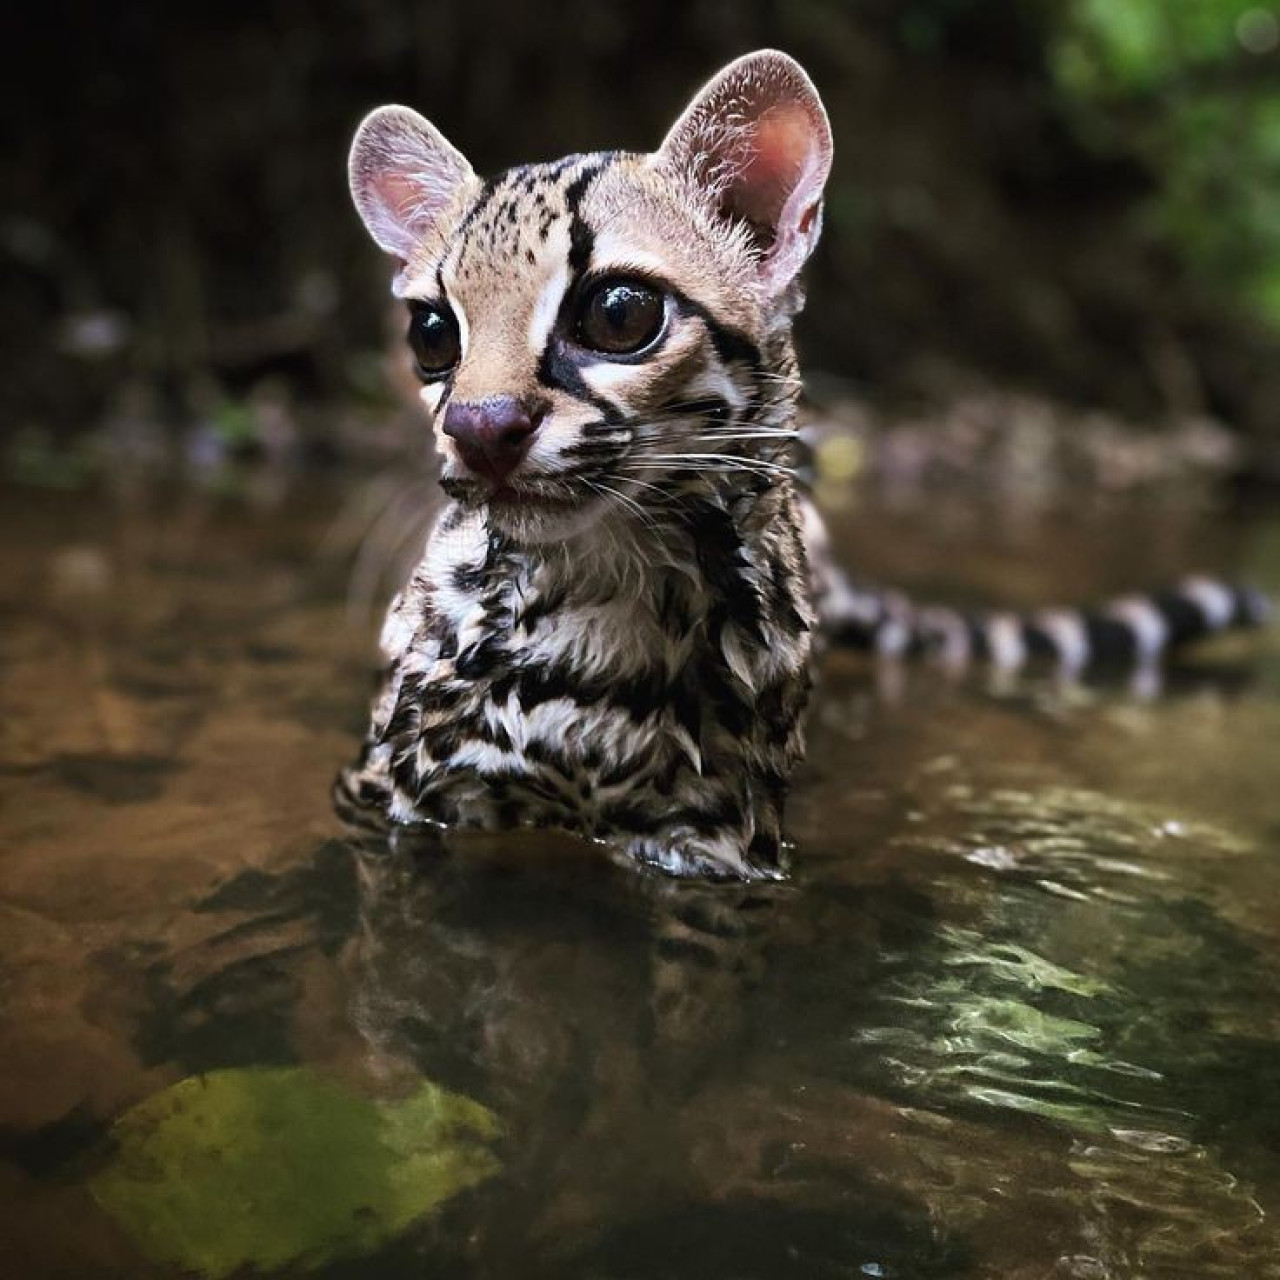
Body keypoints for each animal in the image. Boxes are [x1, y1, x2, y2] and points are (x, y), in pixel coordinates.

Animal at [335, 49, 1264, 880]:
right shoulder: (392, 797)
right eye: (431, 334)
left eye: (619, 313)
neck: (600, 587)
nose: (480, 428)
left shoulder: (719, 843)